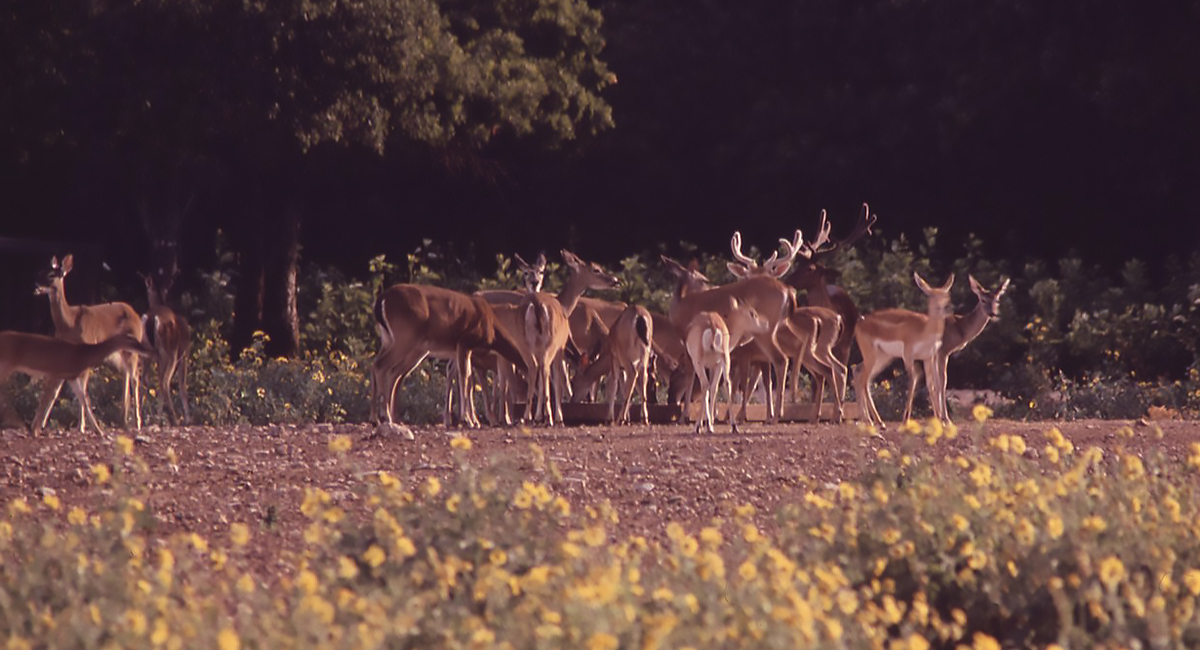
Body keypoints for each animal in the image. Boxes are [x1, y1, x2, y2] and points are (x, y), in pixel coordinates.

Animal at [139, 272, 190, 424]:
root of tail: (153, 317)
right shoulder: (184, 353)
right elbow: (182, 387)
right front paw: (188, 419)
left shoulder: (157, 358)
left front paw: (157, 417)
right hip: (170, 352)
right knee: (165, 383)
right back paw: (175, 419)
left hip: (146, 353)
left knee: (144, 382)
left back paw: (139, 418)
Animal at [854, 272, 955, 431]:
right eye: (931, 295)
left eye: (947, 294)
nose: (947, 308)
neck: (925, 330)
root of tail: (859, 323)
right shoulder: (908, 355)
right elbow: (913, 380)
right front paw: (905, 420)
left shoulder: (928, 357)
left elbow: (932, 385)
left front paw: (940, 419)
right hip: (871, 355)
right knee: (864, 380)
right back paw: (877, 422)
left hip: (883, 357)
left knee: (859, 373)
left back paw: (869, 420)